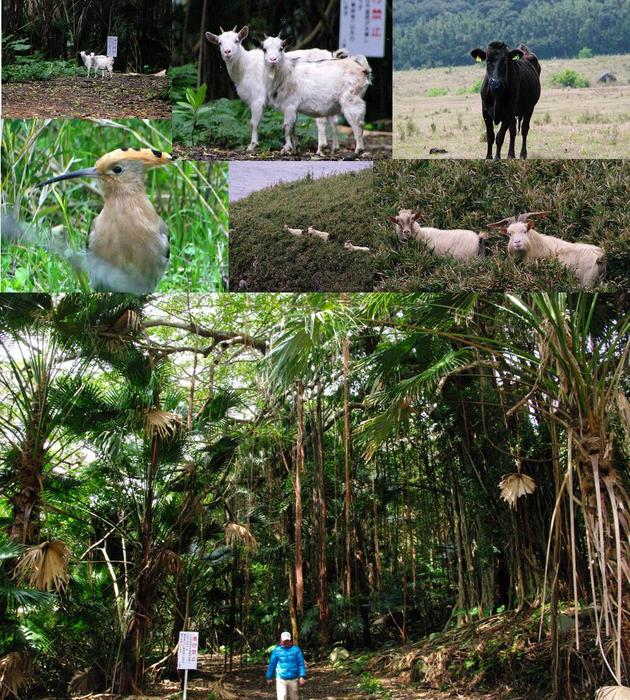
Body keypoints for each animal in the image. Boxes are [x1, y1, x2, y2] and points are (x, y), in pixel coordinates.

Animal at [207, 26, 346, 155]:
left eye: (237, 40)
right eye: (219, 42)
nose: (227, 52)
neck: (244, 67)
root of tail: (331, 55)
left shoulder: (257, 99)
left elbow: (254, 123)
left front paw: (252, 145)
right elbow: (292, 123)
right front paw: (295, 146)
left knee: (321, 120)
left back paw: (320, 148)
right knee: (333, 119)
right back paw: (334, 147)